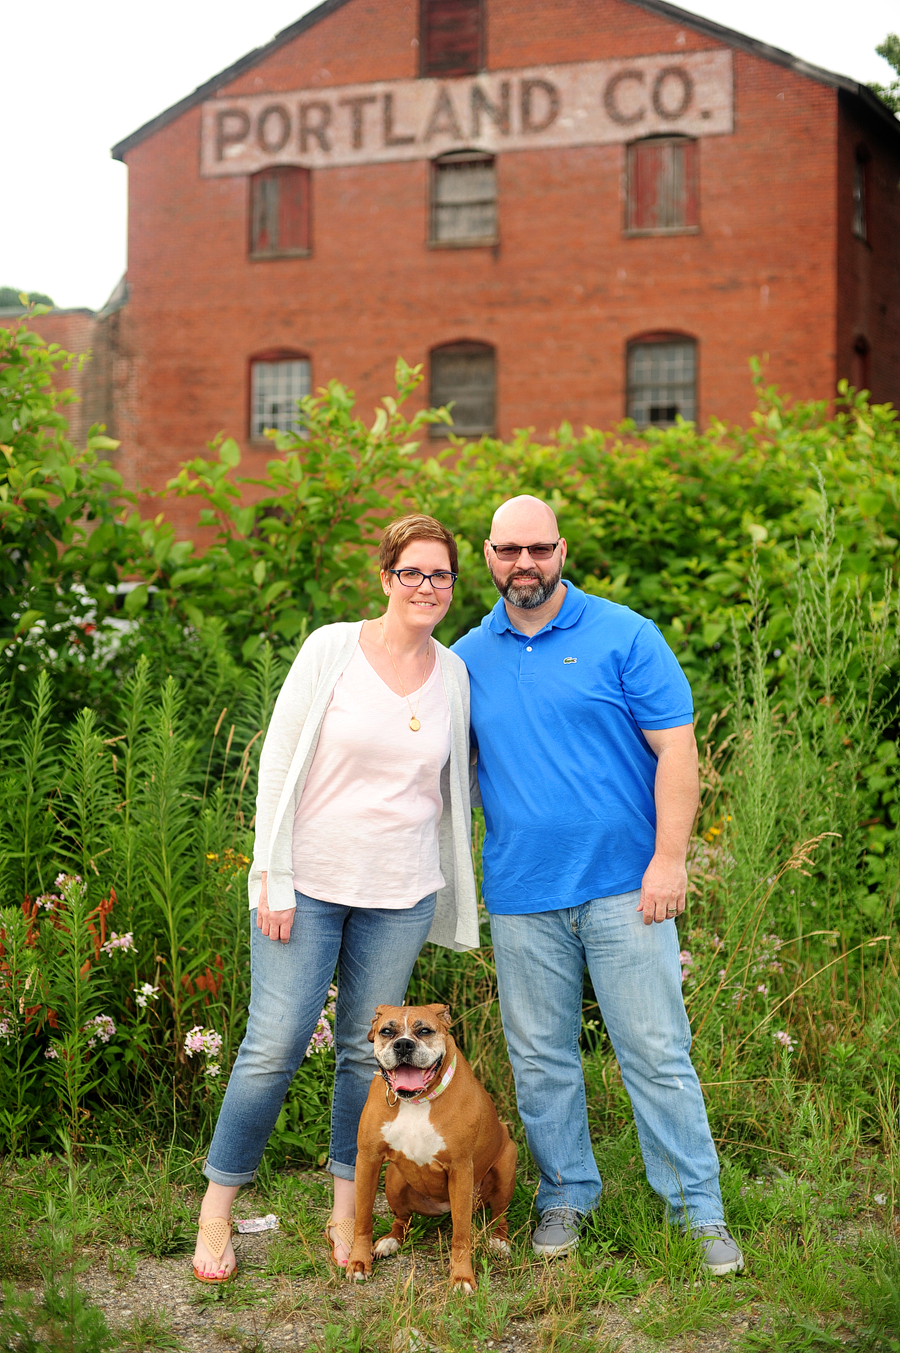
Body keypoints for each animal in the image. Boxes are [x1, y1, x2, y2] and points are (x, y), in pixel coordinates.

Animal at [346, 1006, 516, 1288]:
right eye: (387, 1031)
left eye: (425, 1030)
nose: (404, 1044)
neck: (417, 1101)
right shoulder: (368, 1159)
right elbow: (362, 1218)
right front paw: (358, 1262)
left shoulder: (460, 1169)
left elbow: (461, 1234)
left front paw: (461, 1276)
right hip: (393, 1179)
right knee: (402, 1220)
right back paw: (389, 1241)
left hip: (505, 1166)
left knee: (499, 1215)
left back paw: (499, 1242)